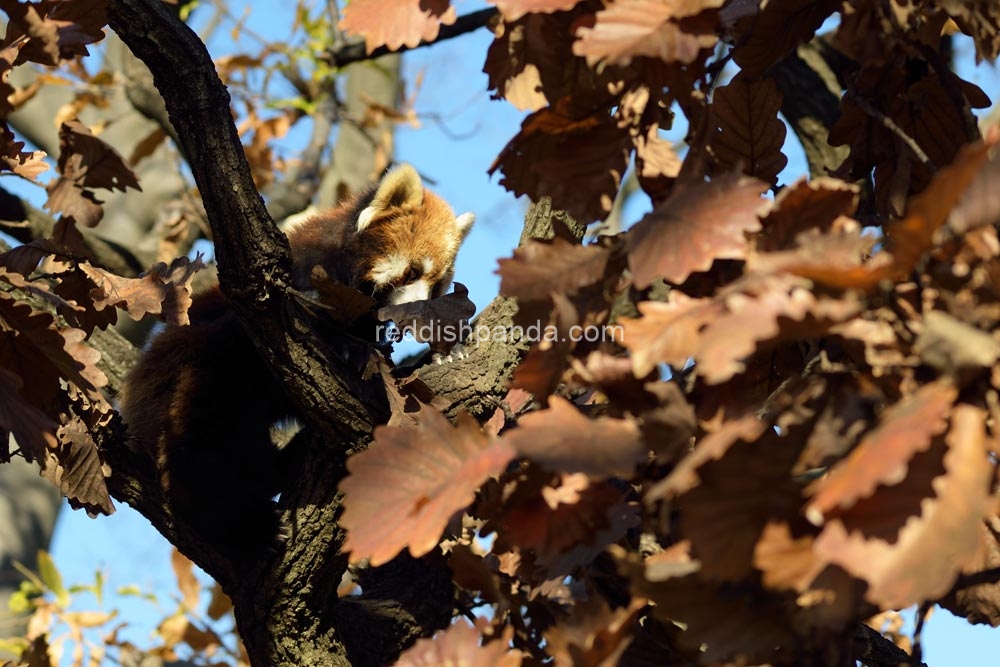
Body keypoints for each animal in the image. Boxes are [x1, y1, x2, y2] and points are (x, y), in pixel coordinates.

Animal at [120, 166, 472, 560]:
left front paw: (442, 351)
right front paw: (353, 351)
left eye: (437, 285)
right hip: (191, 373)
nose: (421, 312)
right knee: (198, 446)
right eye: (412, 272)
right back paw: (247, 526)